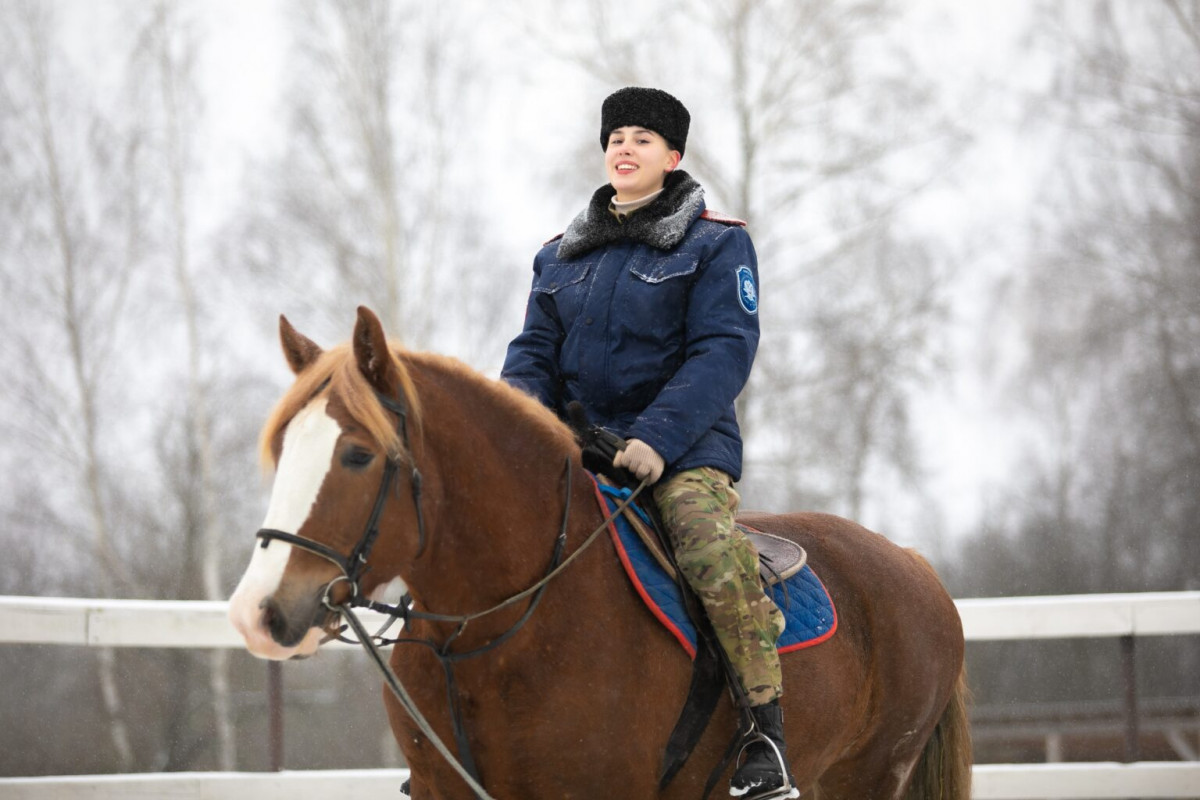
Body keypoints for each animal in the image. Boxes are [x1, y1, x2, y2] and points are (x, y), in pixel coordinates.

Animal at [229, 309, 969, 800]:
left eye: (357, 454)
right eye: (283, 447)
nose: (257, 613)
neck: (504, 629)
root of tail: (913, 565)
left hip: (868, 777)